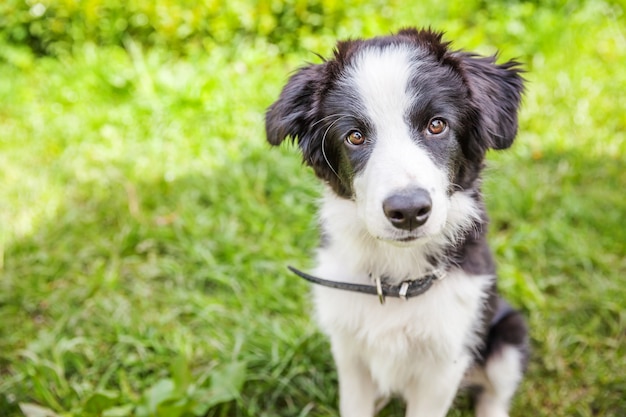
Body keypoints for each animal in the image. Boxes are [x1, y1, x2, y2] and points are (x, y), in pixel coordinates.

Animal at [264, 29, 528, 416]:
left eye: (437, 125)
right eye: (355, 136)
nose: (408, 211)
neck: (396, 280)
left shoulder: (445, 362)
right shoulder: (349, 351)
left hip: (510, 333)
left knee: (494, 394)